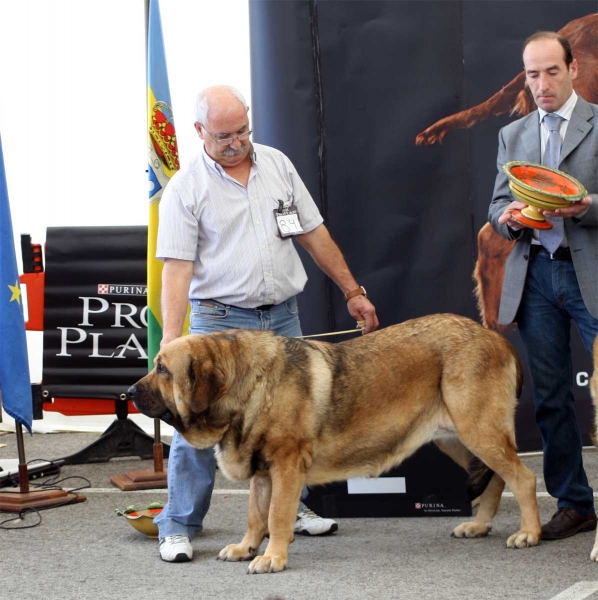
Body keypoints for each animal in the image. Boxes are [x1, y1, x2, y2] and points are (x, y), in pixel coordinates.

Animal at [130, 312, 544, 576]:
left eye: (163, 370)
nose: (128, 393)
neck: (249, 386)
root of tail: (495, 336)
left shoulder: (285, 465)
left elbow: (276, 516)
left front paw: (272, 557)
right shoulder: (262, 474)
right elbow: (255, 515)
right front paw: (246, 547)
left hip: (478, 430)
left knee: (522, 478)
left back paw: (529, 533)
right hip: (457, 439)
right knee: (497, 478)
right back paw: (479, 525)